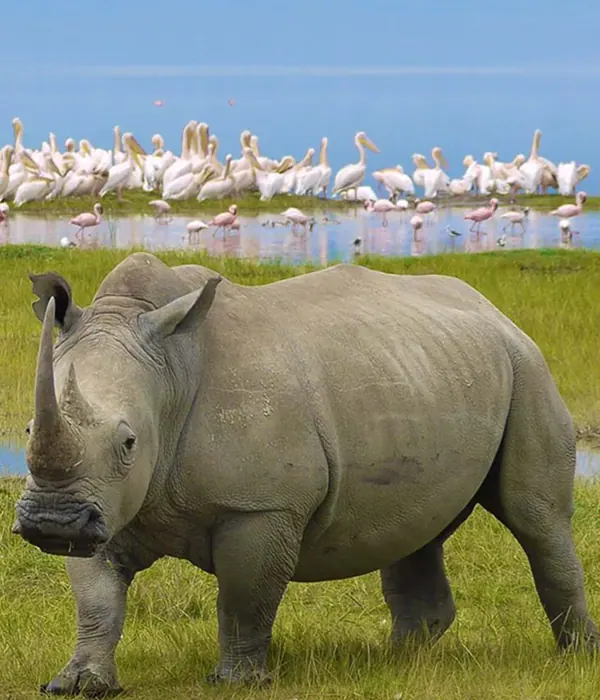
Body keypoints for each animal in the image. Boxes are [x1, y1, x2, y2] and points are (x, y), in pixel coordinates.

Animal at [13, 253, 599, 696]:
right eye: (26, 429)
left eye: (129, 443)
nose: (51, 523)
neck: (170, 374)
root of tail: (492, 309)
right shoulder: (105, 504)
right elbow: (96, 598)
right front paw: (77, 684)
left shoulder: (261, 506)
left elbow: (244, 599)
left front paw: (236, 682)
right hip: (430, 371)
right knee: (420, 527)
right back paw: (397, 660)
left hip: (528, 367)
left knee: (536, 520)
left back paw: (575, 657)